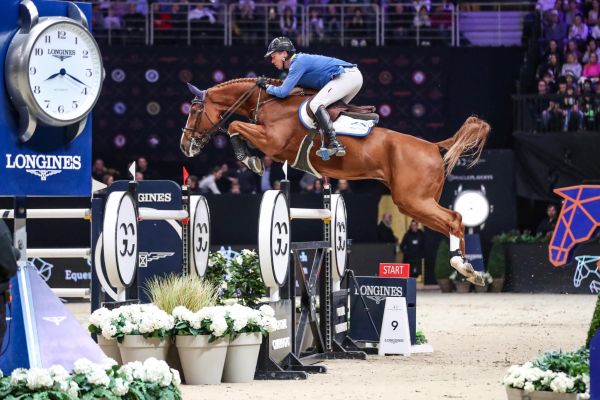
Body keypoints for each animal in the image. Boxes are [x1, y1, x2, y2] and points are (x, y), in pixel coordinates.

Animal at [180, 77, 490, 284]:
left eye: (194, 111)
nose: (185, 146)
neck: (270, 103)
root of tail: (433, 147)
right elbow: (237, 126)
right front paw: (250, 159)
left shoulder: (272, 142)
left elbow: (234, 125)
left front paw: (250, 160)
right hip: (415, 202)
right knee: (454, 220)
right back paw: (469, 270)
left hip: (412, 200)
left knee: (454, 219)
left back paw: (463, 267)